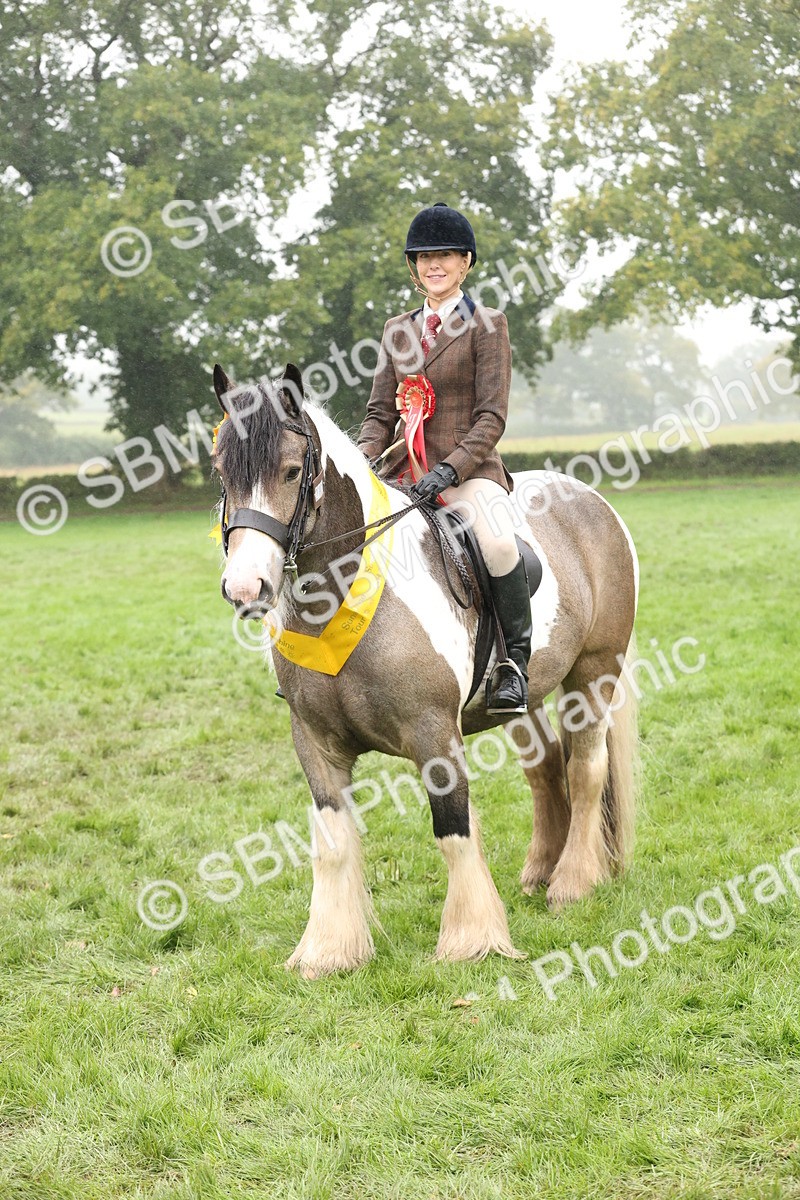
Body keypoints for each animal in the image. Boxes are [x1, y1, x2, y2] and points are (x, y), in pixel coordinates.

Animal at [211, 363, 639, 979]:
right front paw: (328, 951)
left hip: (594, 673)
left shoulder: (434, 734)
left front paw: (472, 941)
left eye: (292, 471)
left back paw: (573, 883)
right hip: (525, 697)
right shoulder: (314, 741)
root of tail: (591, 501)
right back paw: (540, 872)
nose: (247, 588)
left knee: (585, 768)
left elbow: (453, 827)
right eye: (223, 472)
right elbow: (332, 841)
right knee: (545, 768)